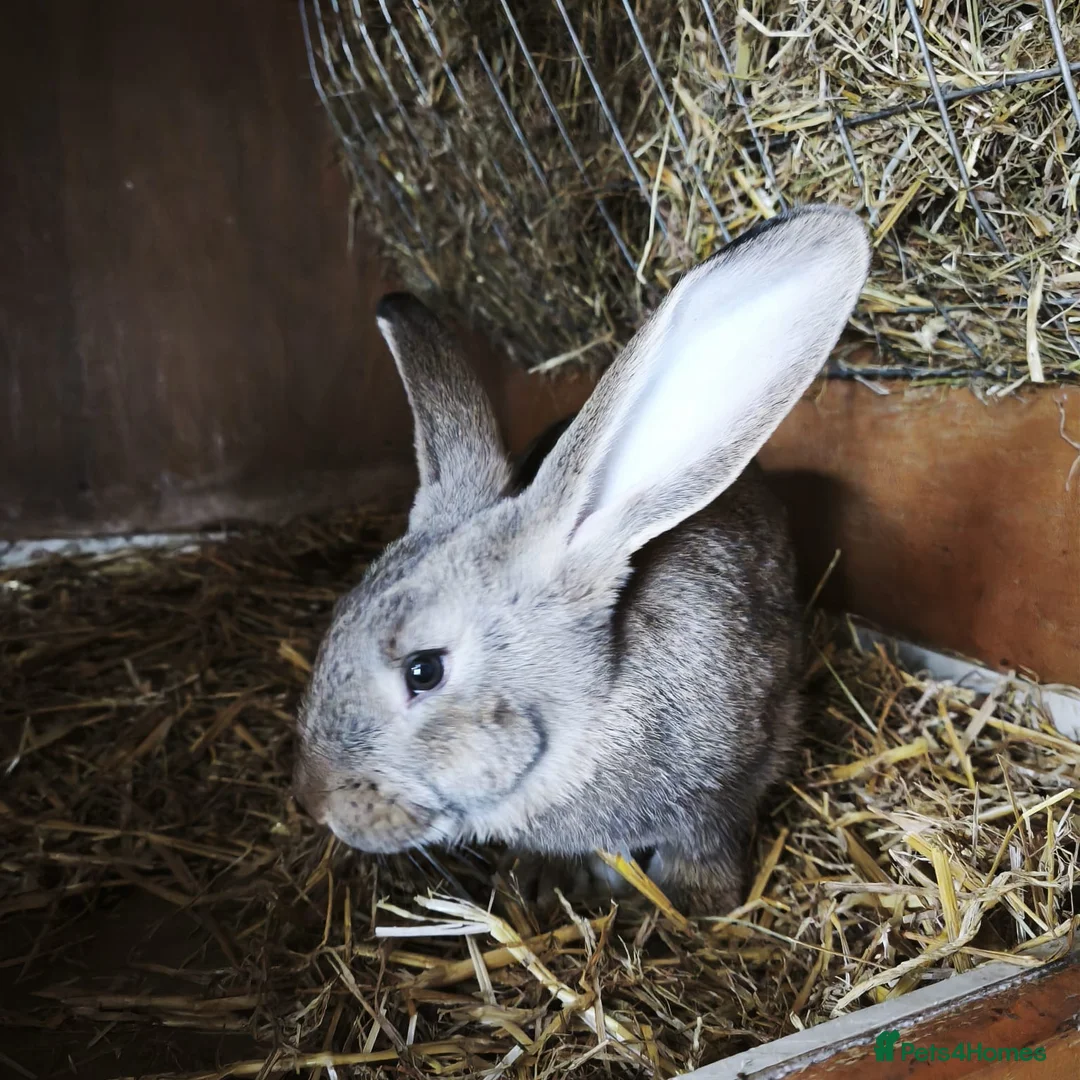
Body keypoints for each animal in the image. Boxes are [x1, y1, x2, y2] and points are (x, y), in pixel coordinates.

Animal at [292, 205, 870, 912]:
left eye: (424, 670)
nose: (312, 799)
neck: (591, 712)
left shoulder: (727, 784)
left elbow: (703, 844)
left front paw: (696, 904)